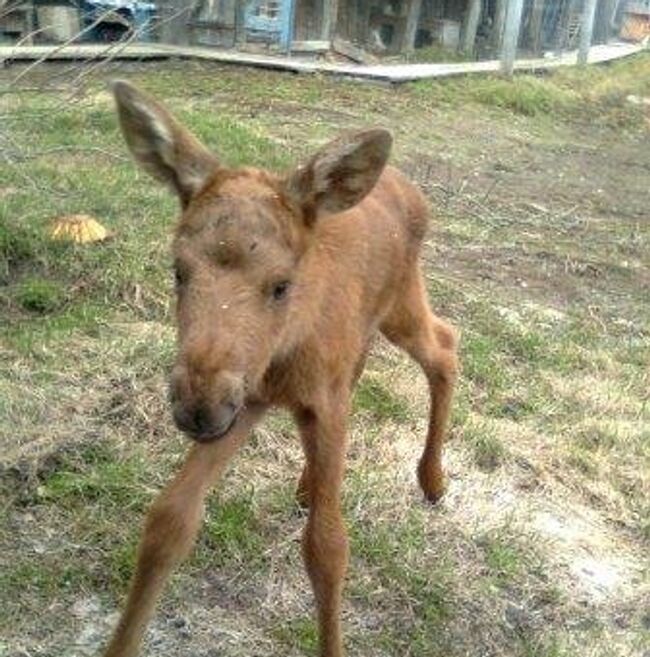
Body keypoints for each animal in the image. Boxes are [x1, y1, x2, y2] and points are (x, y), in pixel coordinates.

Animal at [104, 82, 456, 656]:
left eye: (281, 284)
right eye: (178, 270)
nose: (195, 405)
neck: (283, 355)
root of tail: (410, 188)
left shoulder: (316, 404)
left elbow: (328, 548)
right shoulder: (246, 400)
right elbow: (168, 520)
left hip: (402, 305)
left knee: (446, 345)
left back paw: (432, 478)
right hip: (359, 337)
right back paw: (312, 484)